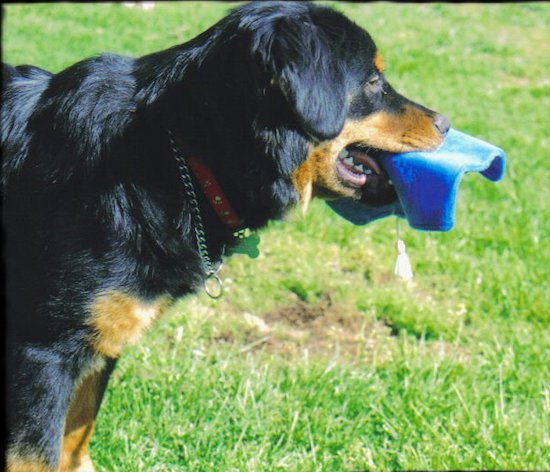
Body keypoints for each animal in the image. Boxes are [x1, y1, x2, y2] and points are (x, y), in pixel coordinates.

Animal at [2, 1, 450, 470]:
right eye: (373, 81)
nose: (446, 123)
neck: (173, 153)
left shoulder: (101, 340)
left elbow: (74, 443)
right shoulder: (43, 349)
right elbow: (38, 455)